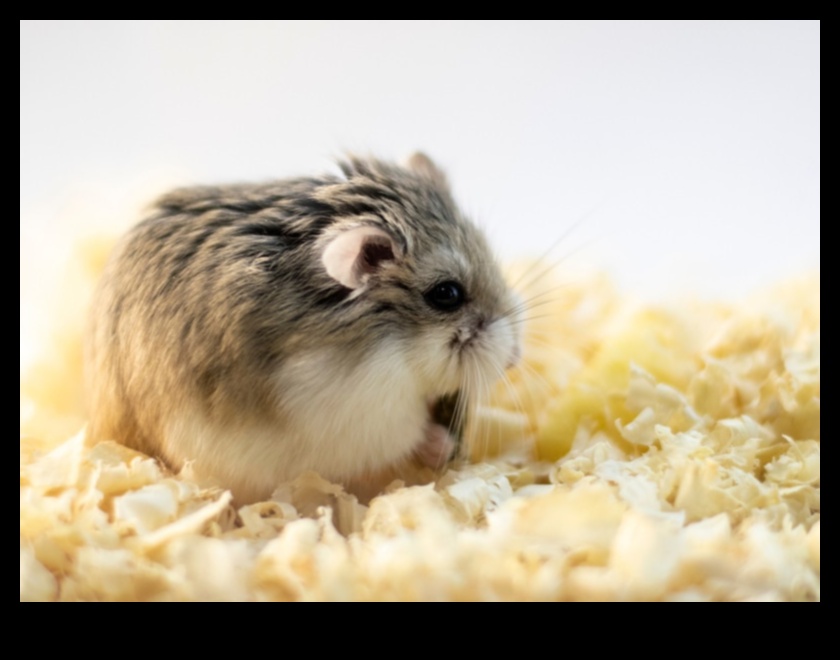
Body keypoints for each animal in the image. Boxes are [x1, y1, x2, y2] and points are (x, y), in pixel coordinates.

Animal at [85, 153, 522, 503]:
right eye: (446, 294)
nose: (515, 359)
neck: (391, 344)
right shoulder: (363, 415)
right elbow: (409, 435)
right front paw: (441, 444)